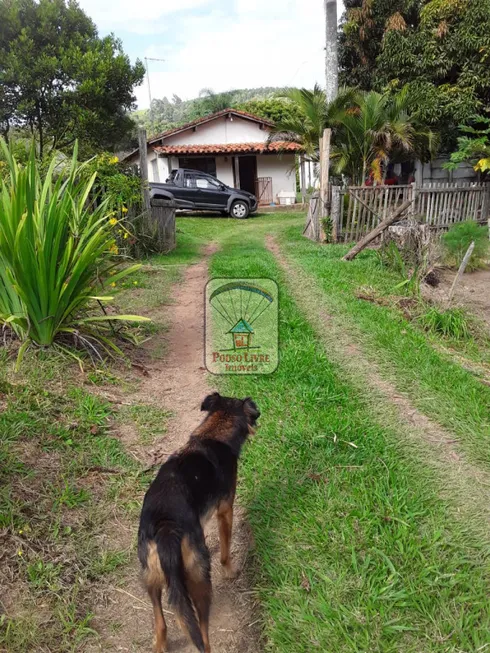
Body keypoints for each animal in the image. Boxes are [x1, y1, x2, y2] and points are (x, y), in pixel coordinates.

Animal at [138, 390, 260, 648]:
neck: (213, 432)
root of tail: (166, 527)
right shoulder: (225, 509)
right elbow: (225, 551)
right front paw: (230, 571)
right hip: (199, 577)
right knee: (202, 634)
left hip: (151, 577)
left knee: (162, 625)